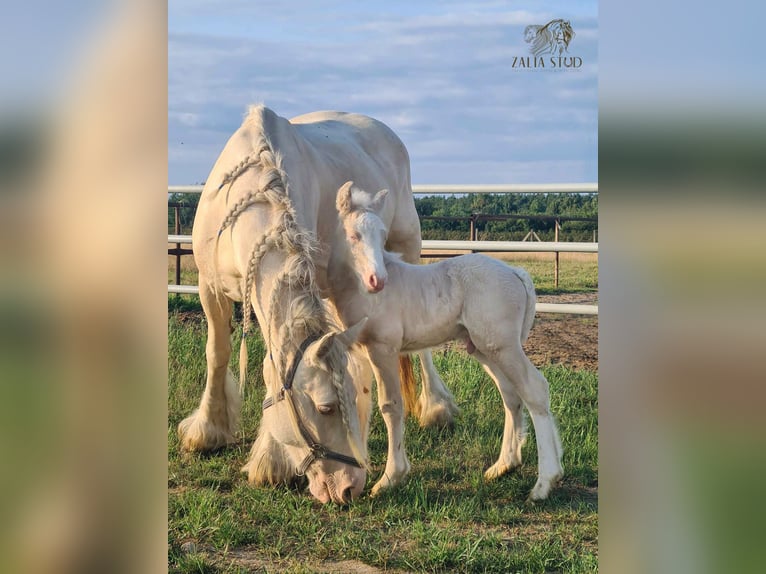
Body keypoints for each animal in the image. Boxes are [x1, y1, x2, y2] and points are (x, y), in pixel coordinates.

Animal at [328, 182, 568, 502]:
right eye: (354, 235)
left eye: (382, 235)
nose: (377, 280)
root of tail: (516, 273)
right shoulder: (357, 352)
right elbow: (356, 403)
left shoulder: (383, 349)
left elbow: (390, 406)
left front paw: (389, 479)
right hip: (485, 349)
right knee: (511, 395)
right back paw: (504, 466)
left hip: (504, 347)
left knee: (534, 390)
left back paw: (544, 483)